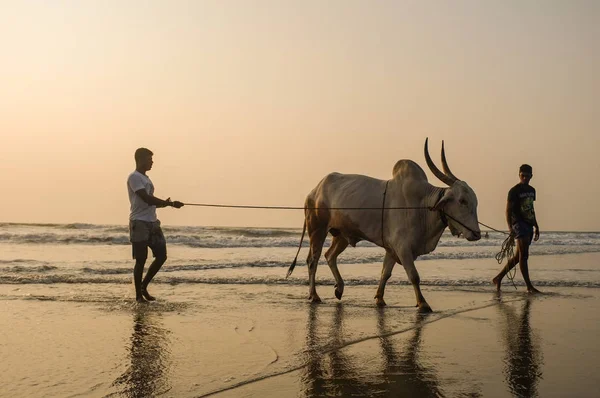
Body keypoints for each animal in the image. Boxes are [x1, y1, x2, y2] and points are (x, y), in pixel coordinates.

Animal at [288, 138, 480, 312]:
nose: (477, 233)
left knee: (330, 256)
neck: (422, 205)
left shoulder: (392, 248)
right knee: (313, 260)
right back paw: (314, 295)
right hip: (317, 230)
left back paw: (339, 288)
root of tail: (314, 191)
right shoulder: (402, 247)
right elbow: (414, 276)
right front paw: (423, 303)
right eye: (462, 201)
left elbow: (385, 273)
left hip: (341, 235)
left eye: (475, 202)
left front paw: (380, 299)